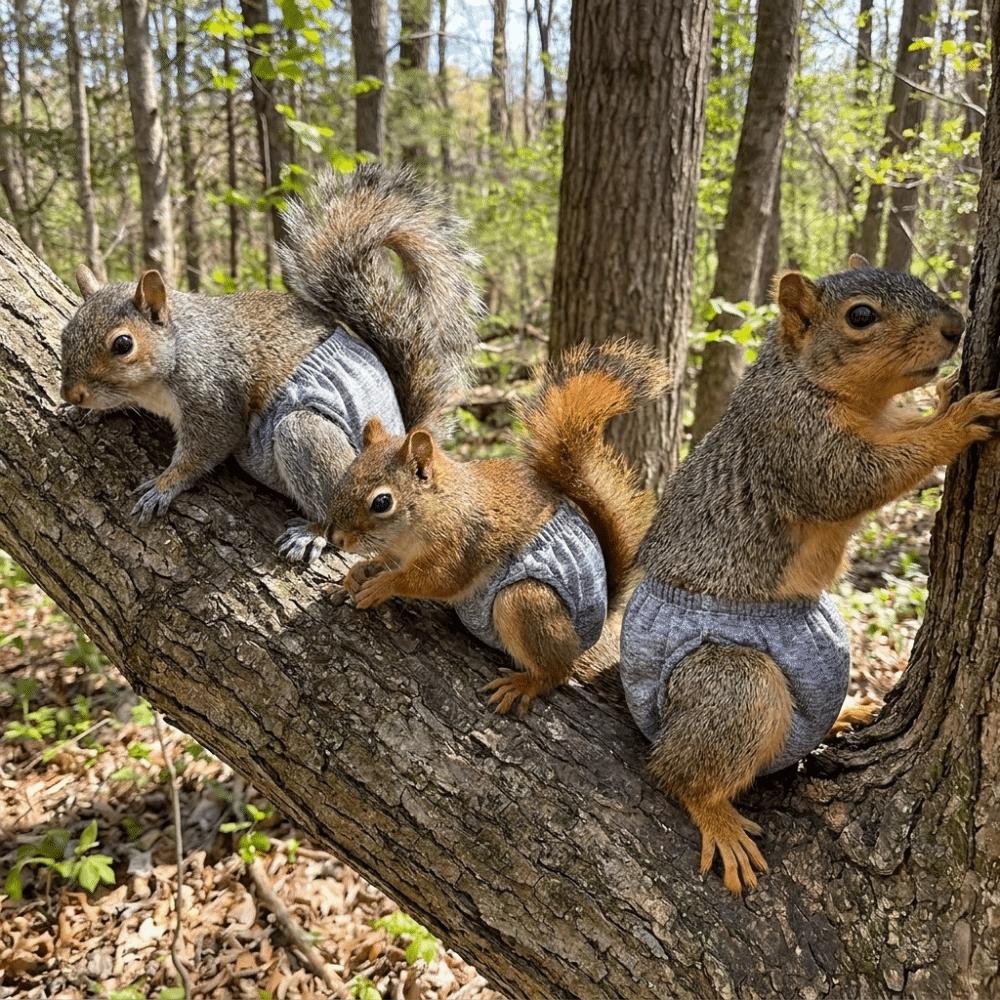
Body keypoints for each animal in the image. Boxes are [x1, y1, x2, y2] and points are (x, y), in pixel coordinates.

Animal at [59, 165, 481, 561]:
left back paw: (312, 532)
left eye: (123, 344)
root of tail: (402, 441)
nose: (72, 393)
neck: (174, 355)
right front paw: (89, 411)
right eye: (65, 333)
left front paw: (164, 486)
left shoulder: (214, 395)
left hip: (310, 438)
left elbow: (205, 449)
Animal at [326, 340, 670, 716]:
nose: (334, 537)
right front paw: (357, 572)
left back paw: (525, 684)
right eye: (347, 473)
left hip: (525, 602)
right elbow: (385, 560)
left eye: (382, 502)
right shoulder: (400, 549)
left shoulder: (463, 545)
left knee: (558, 671)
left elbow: (433, 580)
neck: (433, 512)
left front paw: (383, 585)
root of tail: (598, 619)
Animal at [620, 254, 999, 894]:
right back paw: (717, 819)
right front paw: (959, 418)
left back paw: (847, 713)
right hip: (731, 688)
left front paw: (946, 395)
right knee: (678, 773)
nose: (956, 325)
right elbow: (858, 478)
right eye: (861, 317)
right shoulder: (797, 440)